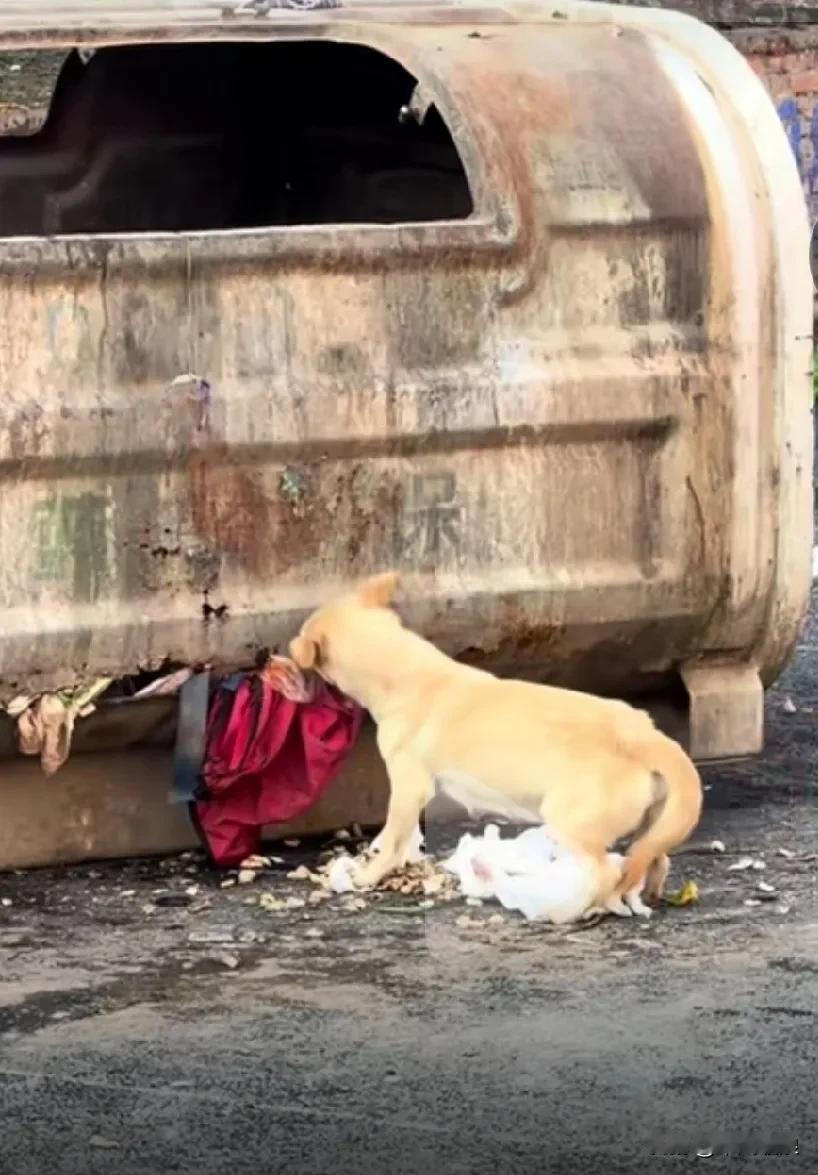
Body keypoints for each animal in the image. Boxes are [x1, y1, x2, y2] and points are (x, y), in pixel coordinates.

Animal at [292, 573, 705, 921]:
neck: (407, 672)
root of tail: (644, 734)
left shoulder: (410, 786)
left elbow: (395, 835)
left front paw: (368, 874)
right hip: (655, 821)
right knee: (654, 859)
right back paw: (644, 896)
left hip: (572, 823)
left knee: (606, 873)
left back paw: (572, 911)